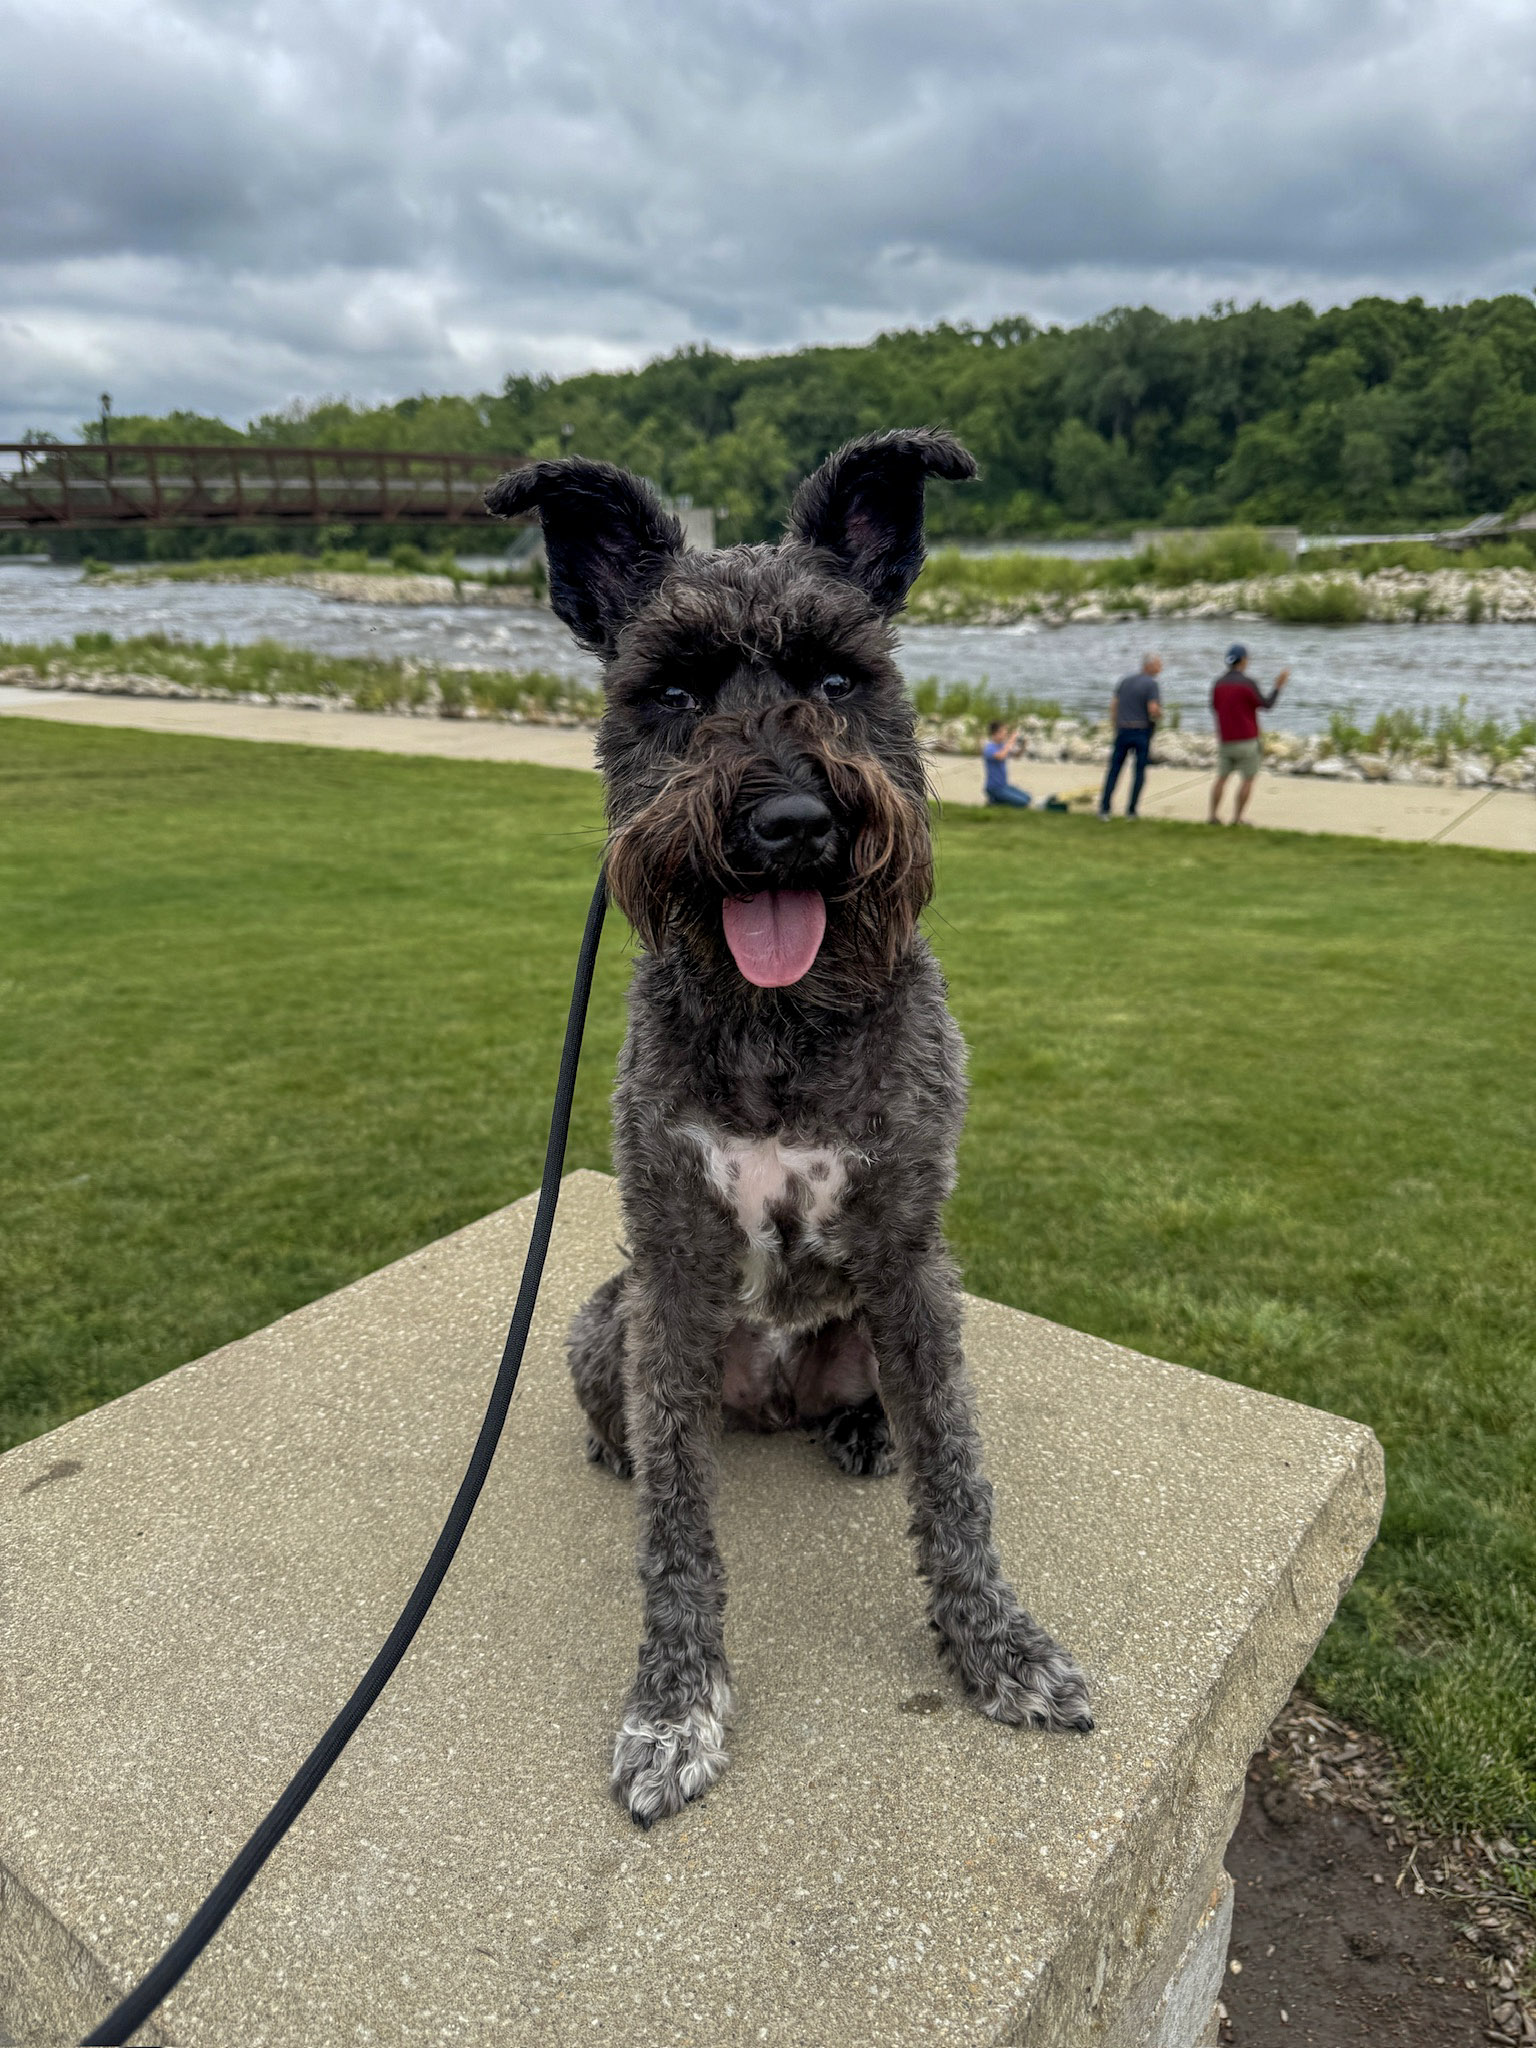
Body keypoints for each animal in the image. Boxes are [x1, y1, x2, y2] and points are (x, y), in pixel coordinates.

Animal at [493, 432, 1097, 1826]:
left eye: (840, 675)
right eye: (672, 690)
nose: (791, 824)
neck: (778, 1021)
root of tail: (765, 1403)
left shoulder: (911, 1259)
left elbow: (959, 1478)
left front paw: (1000, 1647)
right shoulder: (669, 1265)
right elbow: (678, 1535)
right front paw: (674, 1704)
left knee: (889, 1414)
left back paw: (863, 1429)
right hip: (606, 1319)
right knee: (649, 1428)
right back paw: (617, 1445)